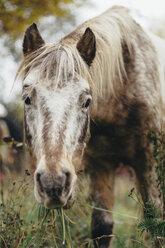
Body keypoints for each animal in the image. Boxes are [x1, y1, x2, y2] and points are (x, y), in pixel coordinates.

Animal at [15, 6, 164, 247]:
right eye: (27, 98)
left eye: (87, 101)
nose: (53, 184)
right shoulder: (99, 165)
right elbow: (102, 226)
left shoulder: (148, 161)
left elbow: (156, 223)